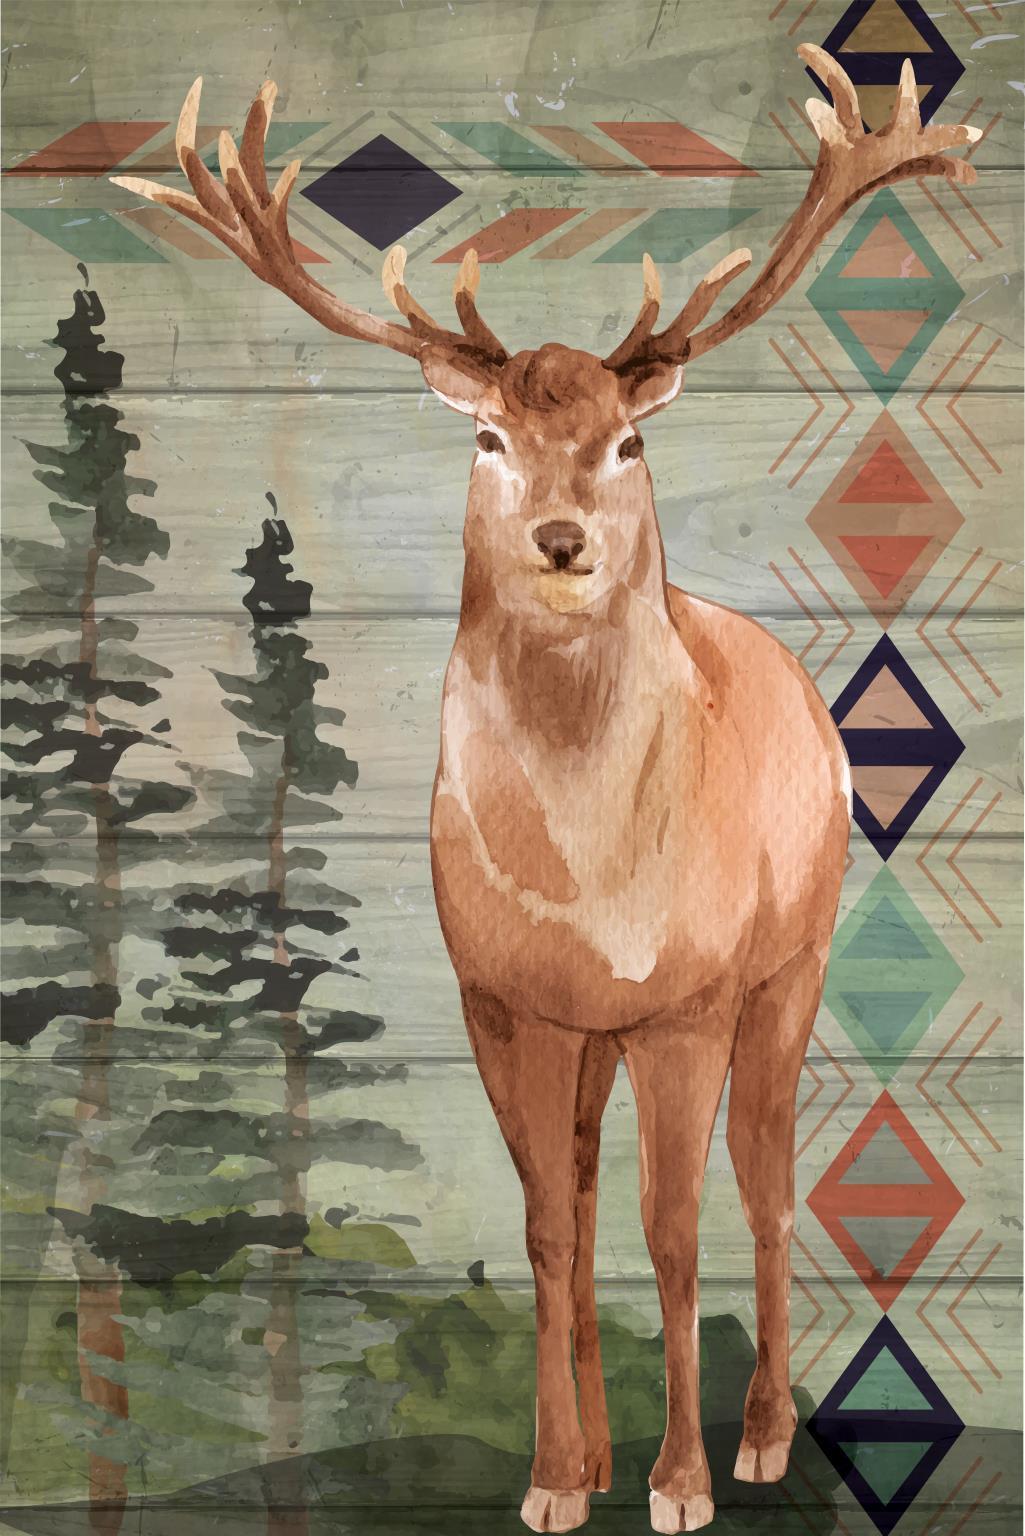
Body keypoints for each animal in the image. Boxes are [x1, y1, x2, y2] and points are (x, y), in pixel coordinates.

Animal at [112, 46, 980, 1534]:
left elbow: (673, 1232)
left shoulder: (689, 997)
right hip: (600, 1036)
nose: (563, 539)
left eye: (627, 444)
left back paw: (761, 1436)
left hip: (792, 960)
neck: (596, 885)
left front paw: (682, 1484)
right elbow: (547, 1230)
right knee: (585, 1189)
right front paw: (556, 1479)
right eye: (486, 442)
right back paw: (602, 1453)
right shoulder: (501, 997)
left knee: (767, 1182)